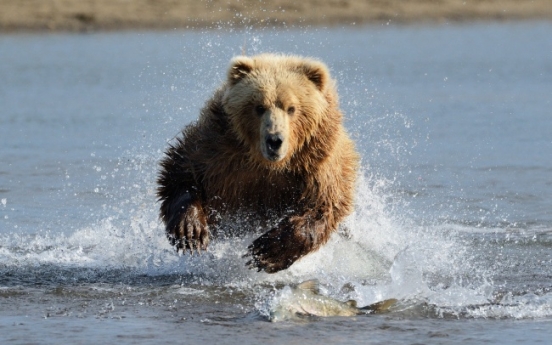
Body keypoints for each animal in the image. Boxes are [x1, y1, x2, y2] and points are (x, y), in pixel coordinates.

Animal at [157, 53, 360, 272]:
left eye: (292, 108)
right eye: (259, 107)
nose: (275, 140)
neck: (267, 164)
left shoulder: (316, 163)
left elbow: (322, 205)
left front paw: (266, 252)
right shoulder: (219, 149)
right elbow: (182, 169)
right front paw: (190, 231)